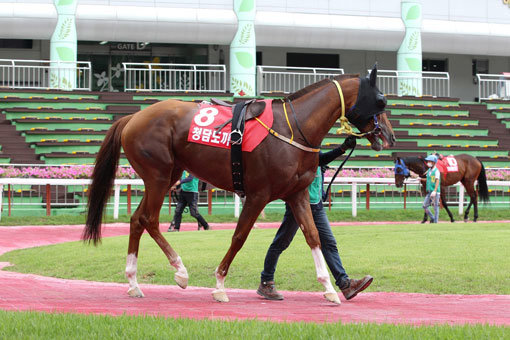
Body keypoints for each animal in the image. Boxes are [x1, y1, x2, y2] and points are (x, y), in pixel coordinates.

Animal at [83, 65, 396, 304]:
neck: (294, 128)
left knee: (137, 220)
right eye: (381, 101)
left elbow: (314, 236)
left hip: (166, 175)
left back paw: (134, 282)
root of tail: (133, 117)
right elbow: (239, 236)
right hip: (158, 176)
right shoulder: (258, 195)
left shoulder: (297, 194)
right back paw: (180, 271)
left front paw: (330, 289)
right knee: (149, 219)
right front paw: (220, 285)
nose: (390, 136)